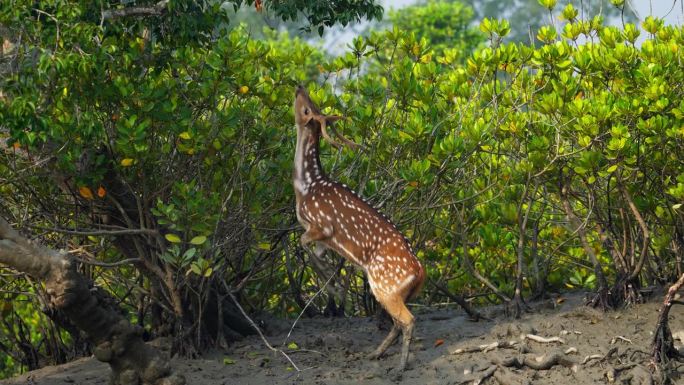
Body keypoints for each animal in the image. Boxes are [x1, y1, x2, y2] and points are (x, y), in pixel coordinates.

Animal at [292, 86, 424, 368]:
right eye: (313, 102)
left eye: (307, 109)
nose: (299, 86)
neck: (306, 187)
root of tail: (420, 271)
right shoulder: (323, 240)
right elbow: (314, 255)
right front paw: (335, 289)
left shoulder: (322, 225)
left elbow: (303, 244)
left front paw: (336, 290)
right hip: (396, 291)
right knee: (397, 322)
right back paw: (376, 353)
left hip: (386, 286)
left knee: (407, 320)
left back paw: (401, 365)